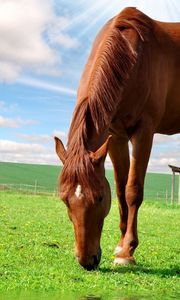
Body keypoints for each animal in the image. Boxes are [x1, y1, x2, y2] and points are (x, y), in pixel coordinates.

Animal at [54, 7, 180, 270]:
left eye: (100, 197)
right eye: (64, 200)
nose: (87, 261)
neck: (135, 56)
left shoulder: (144, 131)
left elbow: (133, 190)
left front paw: (127, 252)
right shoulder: (116, 136)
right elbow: (121, 191)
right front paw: (121, 245)